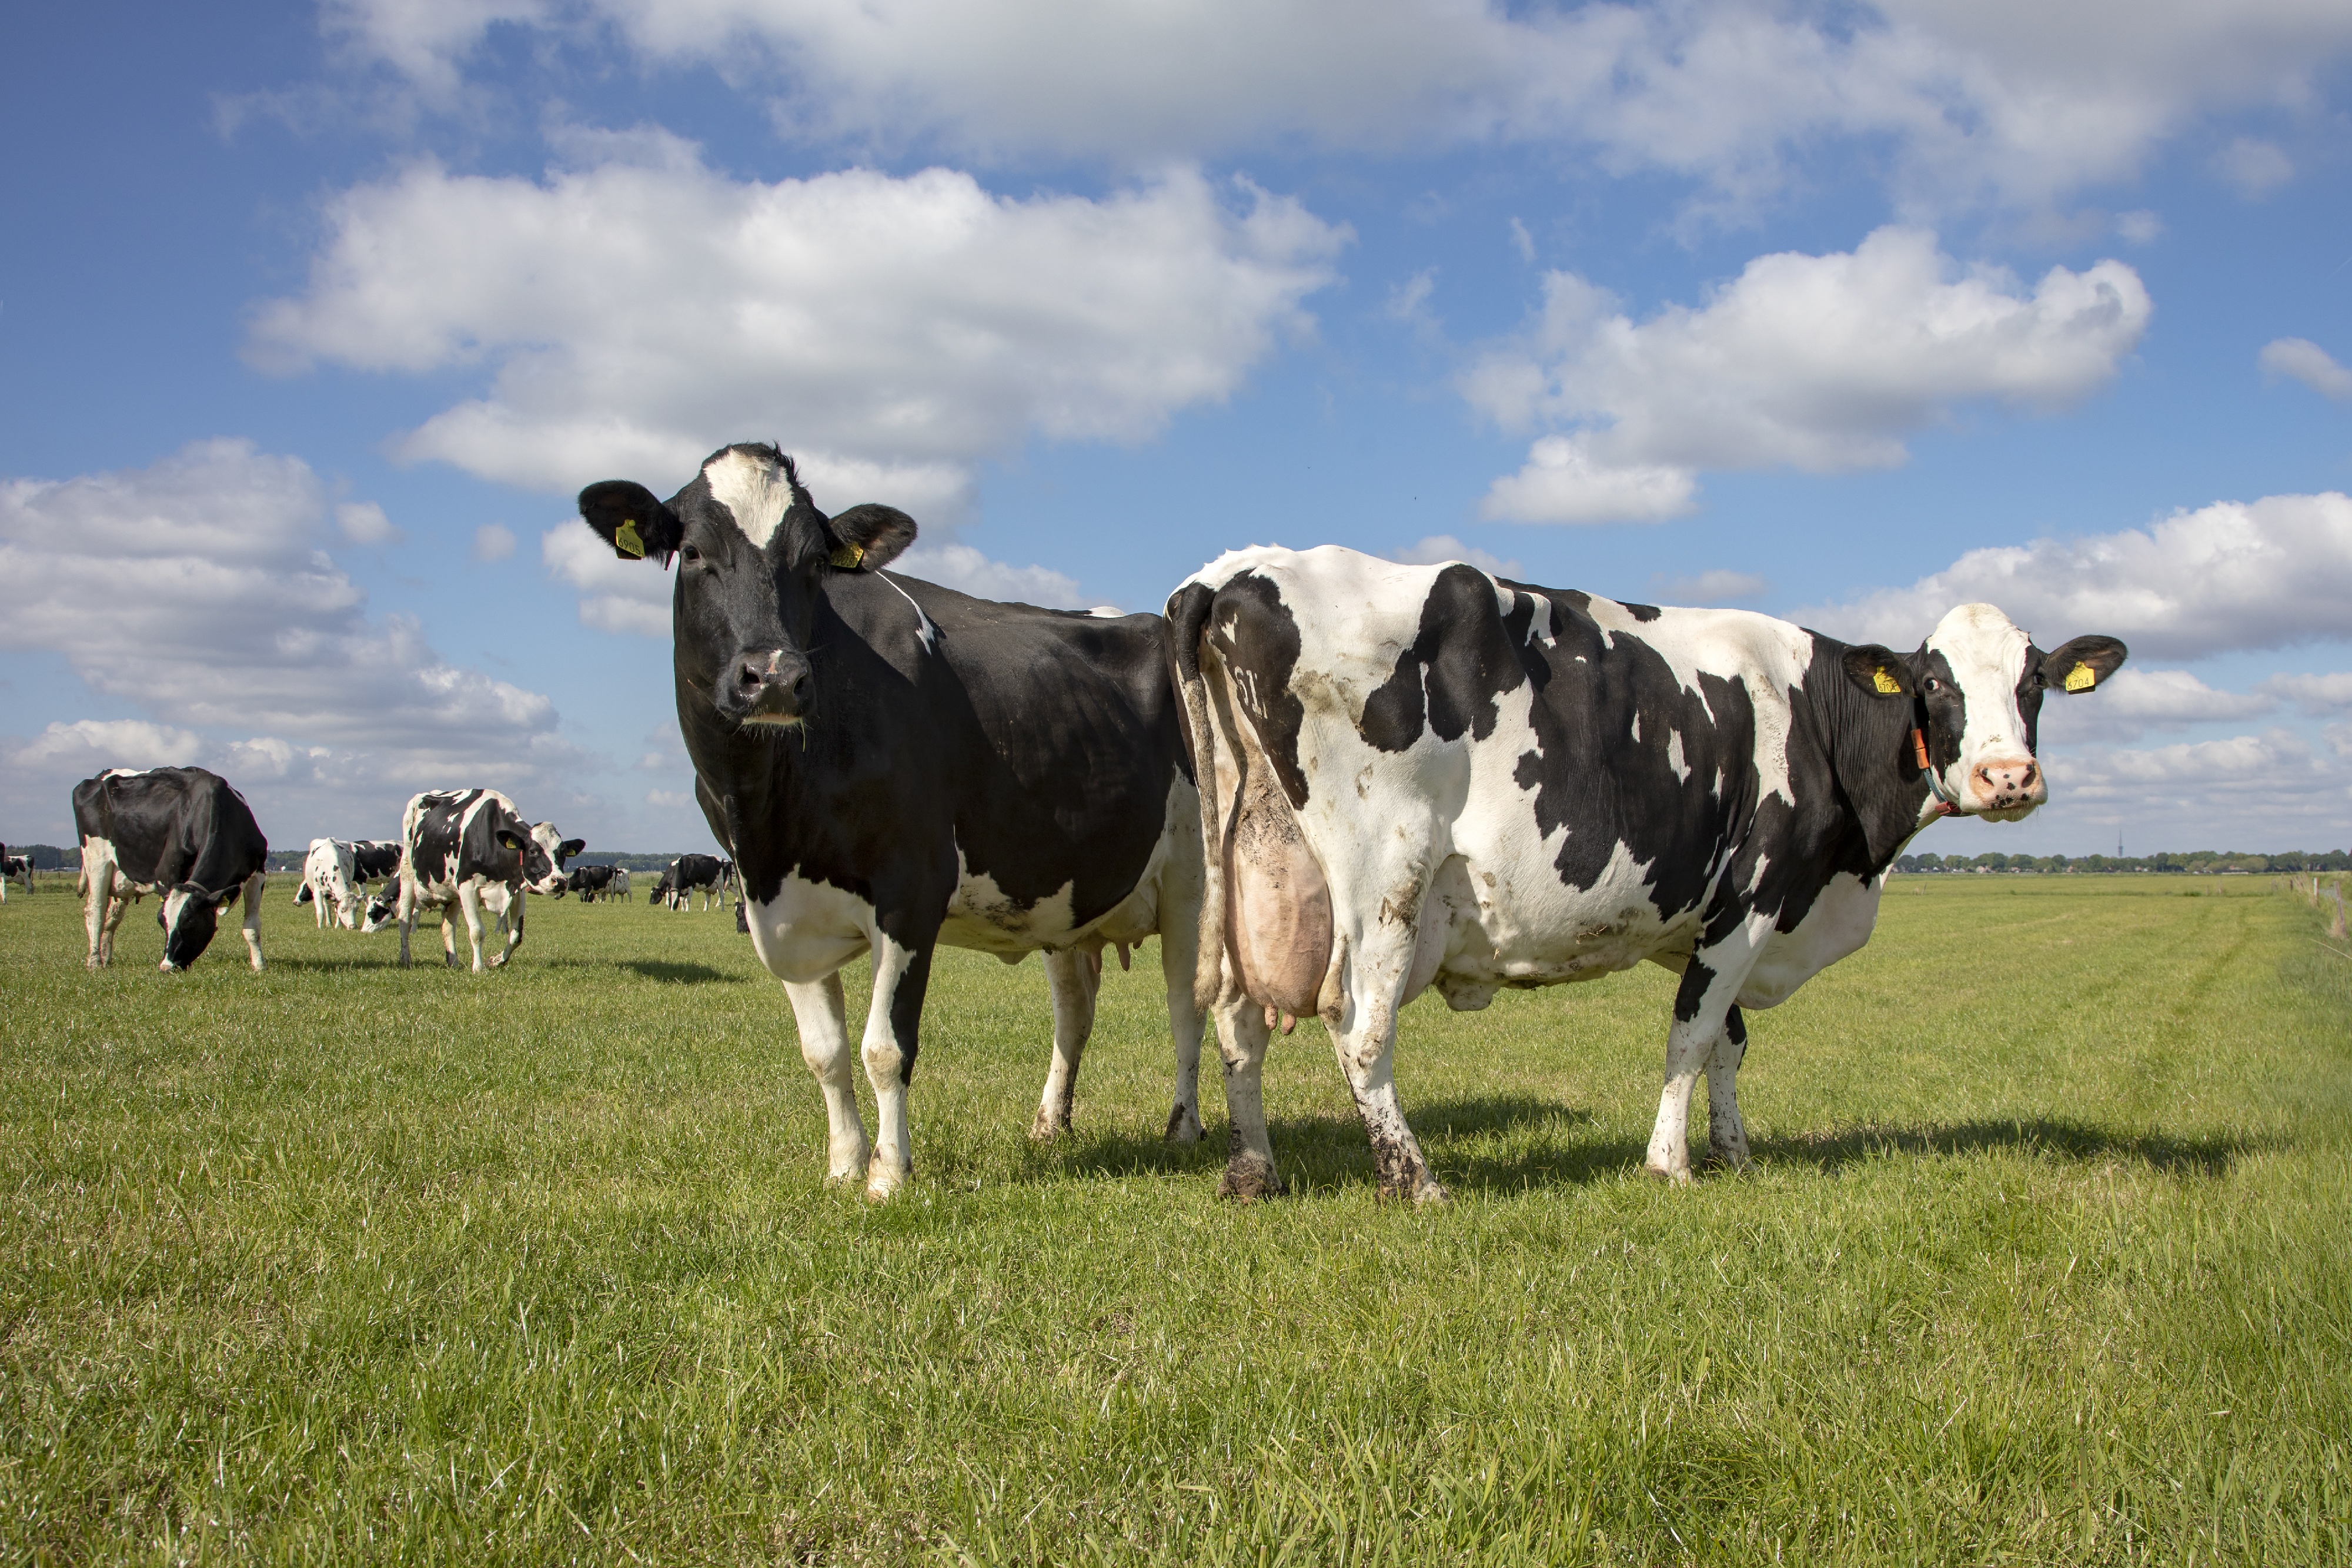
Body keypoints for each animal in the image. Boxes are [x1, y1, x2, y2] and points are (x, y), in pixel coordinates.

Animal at [71, 771, 270, 973]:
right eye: (161, 921)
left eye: (189, 921)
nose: (166, 967)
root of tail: (100, 777)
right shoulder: (167, 873)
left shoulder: (257, 873)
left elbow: (252, 927)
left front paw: (259, 966)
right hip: (96, 860)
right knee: (95, 910)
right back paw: (95, 962)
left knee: (112, 916)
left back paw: (106, 958)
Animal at [395, 785, 579, 968]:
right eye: (533, 851)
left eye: (563, 852)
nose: (560, 881)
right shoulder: (467, 887)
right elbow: (477, 931)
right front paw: (478, 968)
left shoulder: (517, 890)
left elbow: (516, 936)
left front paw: (495, 961)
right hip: (407, 872)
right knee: (405, 916)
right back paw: (406, 959)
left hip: (451, 891)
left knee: (448, 925)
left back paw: (453, 961)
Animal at [574, 442, 1214, 1203]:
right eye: (694, 551)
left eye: (812, 562)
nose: (776, 676)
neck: (772, 812)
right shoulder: (777, 907)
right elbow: (823, 1053)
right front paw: (843, 1165)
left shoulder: (911, 890)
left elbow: (885, 1047)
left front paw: (889, 1174)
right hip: (1066, 893)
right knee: (1075, 1010)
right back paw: (1049, 1123)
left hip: (1192, 878)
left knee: (1187, 1001)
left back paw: (1183, 1126)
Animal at [1176, 550, 2136, 1203]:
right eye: (1935, 684)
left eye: (2035, 681)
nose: (2008, 777)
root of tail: (1234, 573)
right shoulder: (1753, 898)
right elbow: (1691, 1034)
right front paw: (1670, 1163)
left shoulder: (1707, 920)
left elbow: (1729, 1042)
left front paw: (1734, 1150)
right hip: (1386, 880)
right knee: (1359, 1029)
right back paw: (1415, 1180)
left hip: (1252, 869)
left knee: (1237, 1023)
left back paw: (1253, 1169)